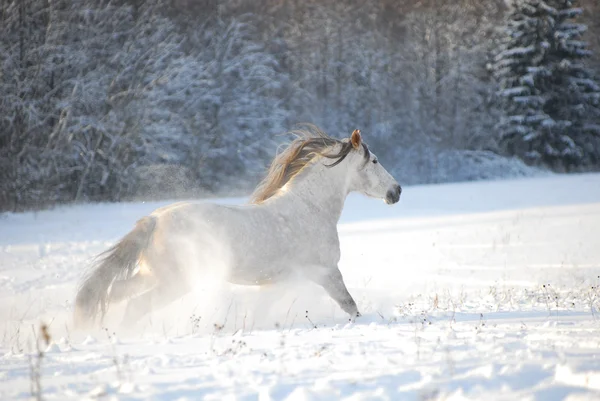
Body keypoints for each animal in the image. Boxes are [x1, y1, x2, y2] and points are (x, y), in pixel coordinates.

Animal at [75, 126, 404, 326]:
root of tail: (154, 220)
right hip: (173, 282)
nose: (397, 191)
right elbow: (350, 305)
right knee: (135, 306)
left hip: (151, 275)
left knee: (115, 292)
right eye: (374, 160)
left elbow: (261, 310)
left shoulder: (279, 282)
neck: (309, 210)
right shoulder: (325, 272)